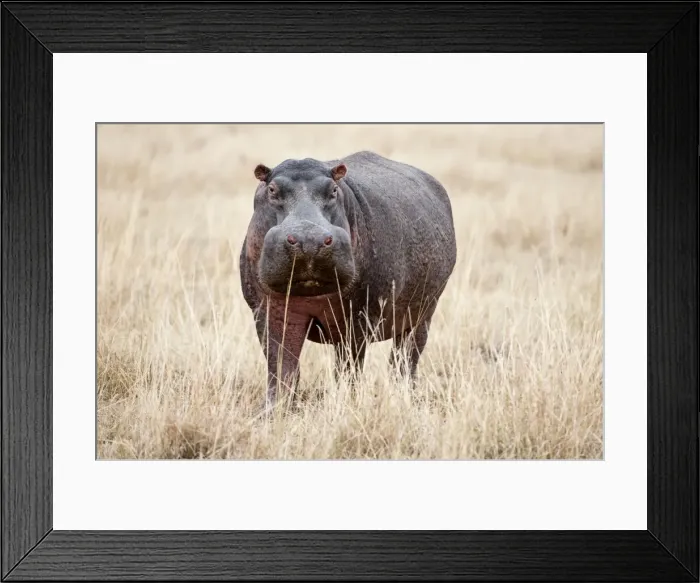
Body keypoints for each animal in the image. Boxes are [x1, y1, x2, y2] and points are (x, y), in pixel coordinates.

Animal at [239, 150, 457, 408]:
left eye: (333, 189)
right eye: (272, 189)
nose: (309, 239)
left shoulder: (358, 316)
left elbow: (348, 367)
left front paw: (346, 403)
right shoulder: (269, 311)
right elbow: (281, 364)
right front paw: (272, 409)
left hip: (423, 314)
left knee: (405, 358)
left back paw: (406, 397)